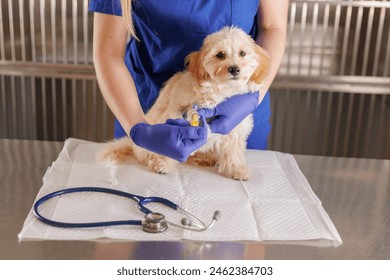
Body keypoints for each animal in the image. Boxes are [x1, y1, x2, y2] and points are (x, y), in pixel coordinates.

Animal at [98, 26, 268, 179]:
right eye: (220, 55)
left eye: (243, 53)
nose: (234, 68)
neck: (223, 92)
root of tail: (133, 144)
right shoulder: (178, 115)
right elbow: (169, 143)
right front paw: (163, 164)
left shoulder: (236, 125)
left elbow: (233, 152)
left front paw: (236, 170)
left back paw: (205, 158)